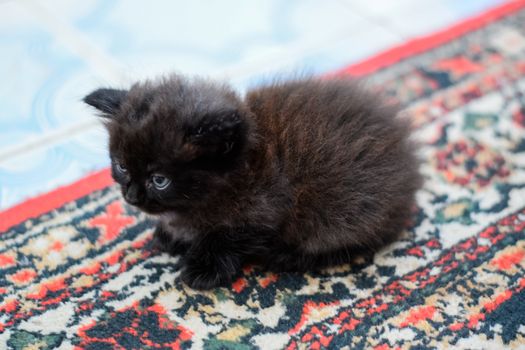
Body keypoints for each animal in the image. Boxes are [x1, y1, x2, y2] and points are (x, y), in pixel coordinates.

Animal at [85, 74, 422, 290]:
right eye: (121, 166)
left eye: (159, 180)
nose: (131, 195)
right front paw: (171, 235)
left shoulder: (262, 212)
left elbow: (224, 238)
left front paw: (203, 268)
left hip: (342, 213)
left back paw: (285, 256)